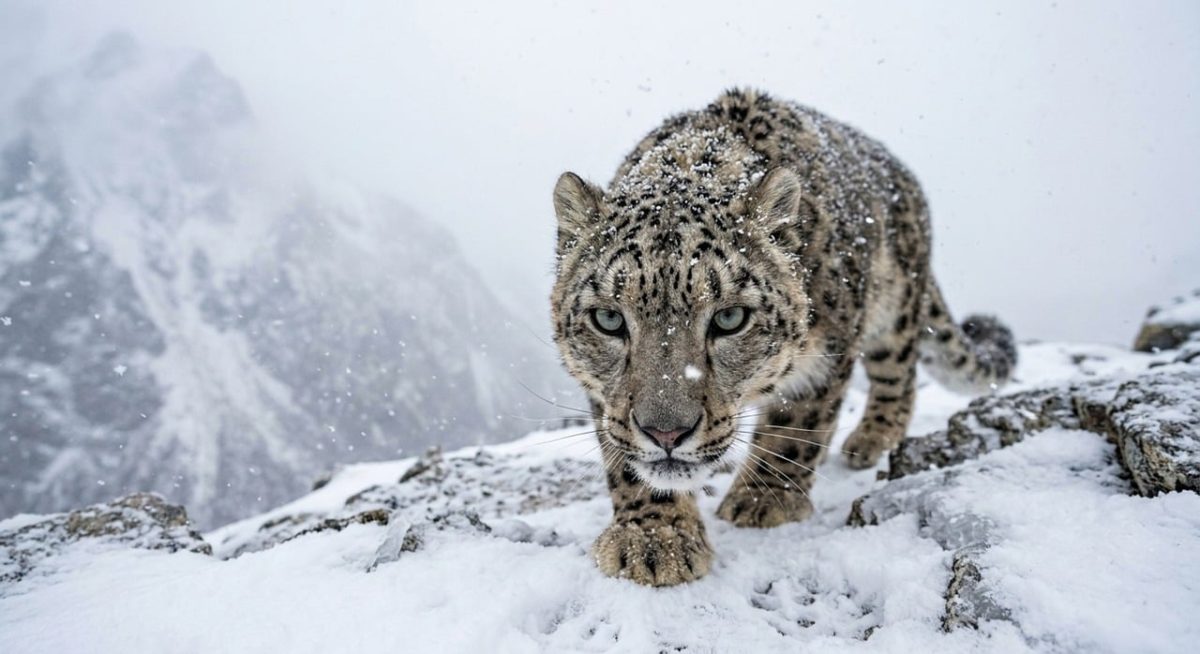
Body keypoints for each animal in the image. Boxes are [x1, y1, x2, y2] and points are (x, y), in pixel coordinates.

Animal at [549, 88, 1016, 586]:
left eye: (730, 318)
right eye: (609, 319)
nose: (667, 432)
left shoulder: (826, 355)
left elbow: (796, 424)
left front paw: (763, 501)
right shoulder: (606, 398)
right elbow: (628, 461)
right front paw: (654, 539)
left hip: (896, 305)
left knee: (899, 373)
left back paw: (871, 439)